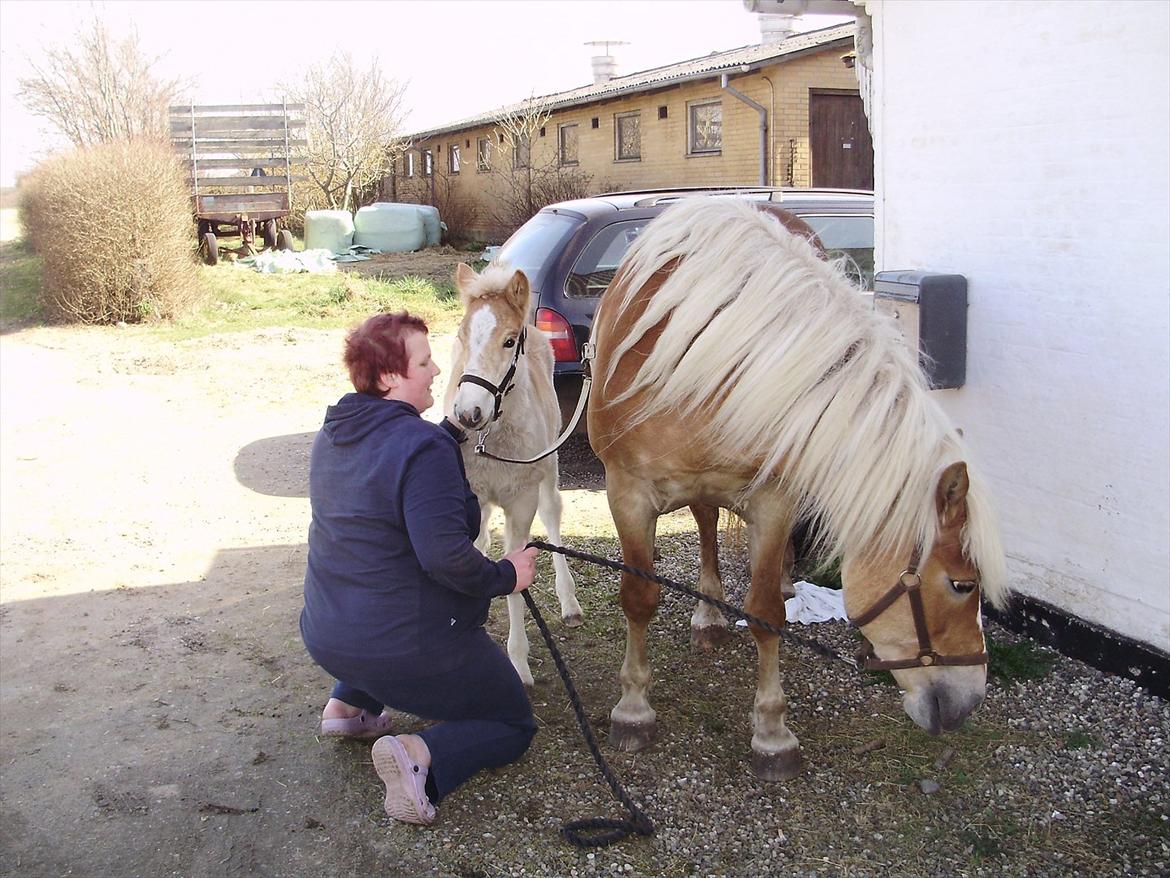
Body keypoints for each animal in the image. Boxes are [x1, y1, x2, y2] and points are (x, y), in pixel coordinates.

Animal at [442, 261, 580, 688]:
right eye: (461, 336)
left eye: (507, 341)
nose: (468, 413)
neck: (492, 438)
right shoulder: (469, 494)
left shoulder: (521, 504)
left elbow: (517, 581)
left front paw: (518, 663)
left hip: (550, 464)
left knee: (553, 513)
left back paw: (569, 599)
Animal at [589, 199, 1010, 782]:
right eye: (962, 585)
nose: (969, 702)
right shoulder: (626, 493)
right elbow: (638, 597)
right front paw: (632, 709)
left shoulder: (772, 501)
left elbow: (766, 612)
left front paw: (772, 734)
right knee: (704, 522)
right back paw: (709, 614)